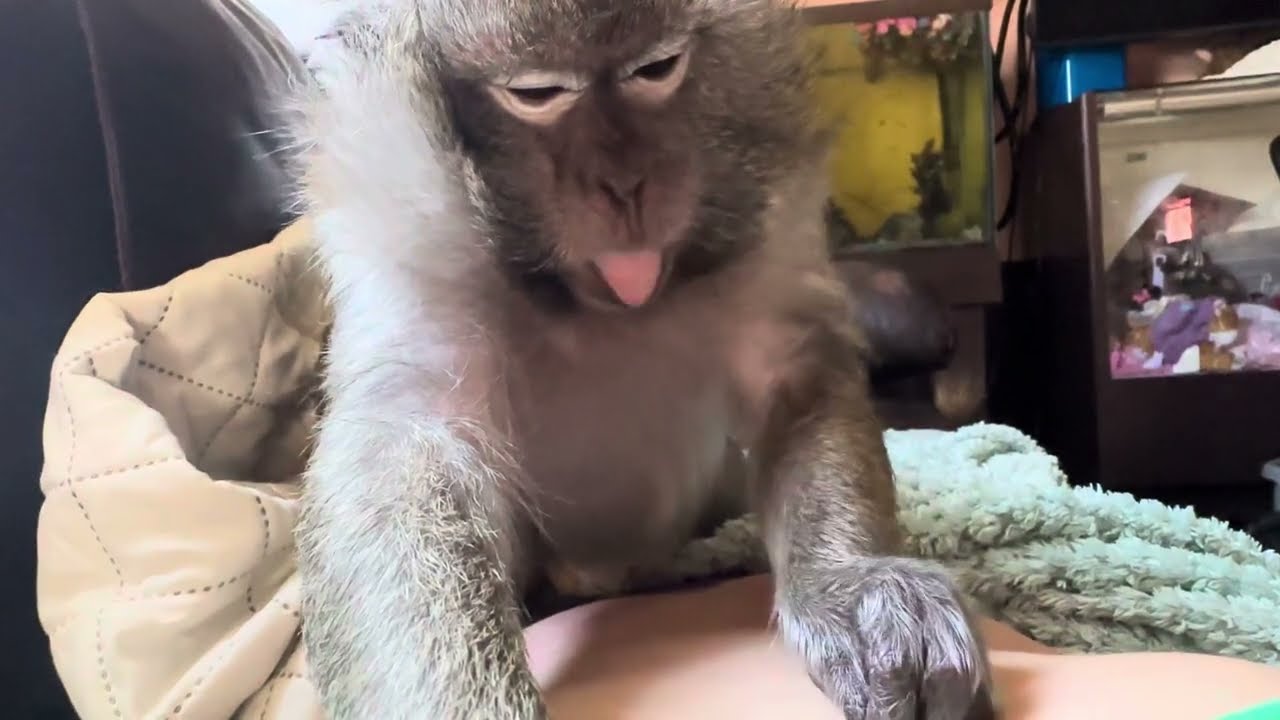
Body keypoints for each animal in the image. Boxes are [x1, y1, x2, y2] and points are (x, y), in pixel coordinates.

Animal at [289, 1, 993, 719]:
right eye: (537, 93)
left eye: (656, 69)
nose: (624, 187)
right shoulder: (401, 217)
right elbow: (403, 447)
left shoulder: (769, 200)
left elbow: (795, 372)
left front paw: (851, 580)